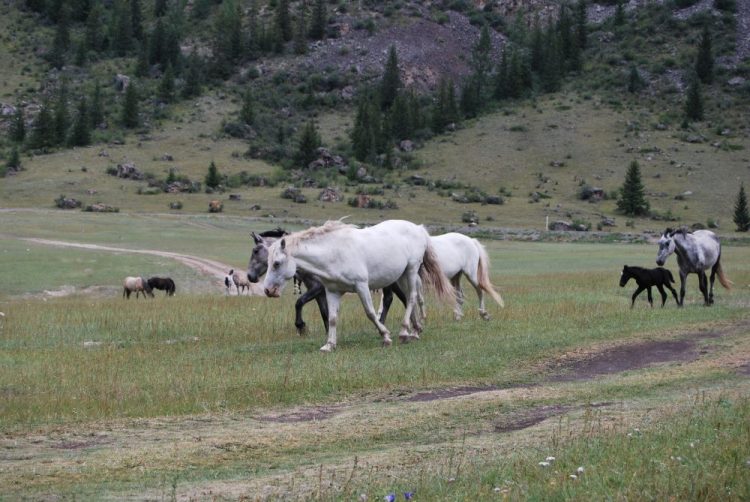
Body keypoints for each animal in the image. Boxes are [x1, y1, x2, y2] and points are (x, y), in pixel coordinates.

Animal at [248, 229, 408, 336]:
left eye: (255, 251)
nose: (250, 276)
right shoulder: (320, 293)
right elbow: (325, 313)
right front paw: (327, 333)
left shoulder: (317, 288)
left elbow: (299, 302)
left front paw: (301, 326)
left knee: (389, 299)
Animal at [264, 220, 452, 352]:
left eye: (277, 263)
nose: (267, 290)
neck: (333, 252)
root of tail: (418, 228)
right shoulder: (332, 291)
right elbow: (332, 318)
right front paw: (329, 345)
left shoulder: (361, 286)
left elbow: (370, 313)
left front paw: (385, 337)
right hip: (401, 276)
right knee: (408, 299)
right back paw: (415, 331)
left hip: (412, 269)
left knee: (412, 297)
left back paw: (404, 332)